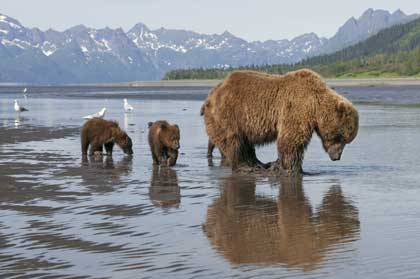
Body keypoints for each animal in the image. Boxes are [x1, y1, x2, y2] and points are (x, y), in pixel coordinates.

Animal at [202, 69, 360, 175]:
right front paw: (292, 169)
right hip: (229, 114)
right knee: (234, 140)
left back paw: (260, 163)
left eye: (347, 141)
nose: (337, 157)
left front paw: (281, 166)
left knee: (245, 143)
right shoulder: (297, 107)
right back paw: (246, 166)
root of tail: (210, 95)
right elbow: (291, 139)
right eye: (340, 137)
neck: (315, 104)